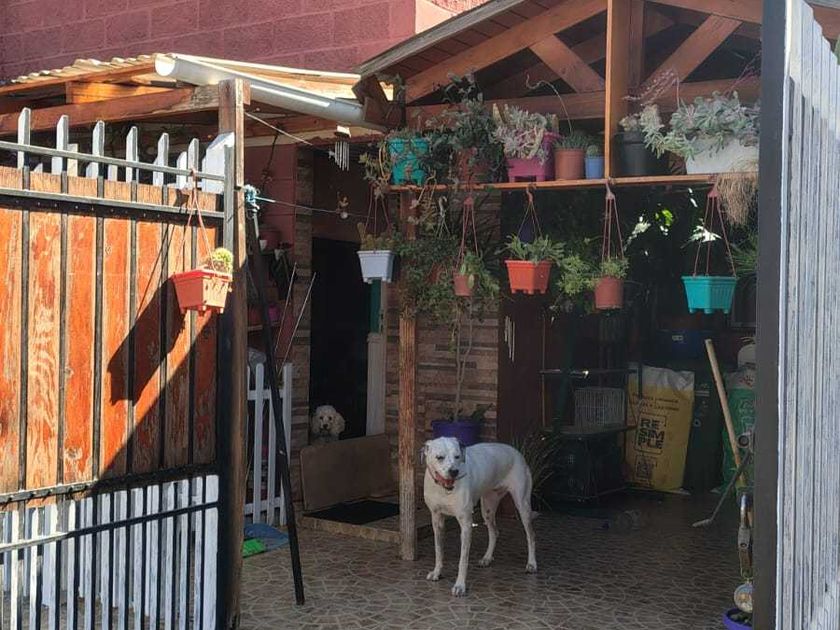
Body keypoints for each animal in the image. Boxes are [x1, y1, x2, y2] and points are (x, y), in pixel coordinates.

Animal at [422, 437, 537, 597]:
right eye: (440, 457)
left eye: (457, 456)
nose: (454, 472)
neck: (444, 490)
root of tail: (517, 452)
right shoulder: (437, 520)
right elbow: (438, 551)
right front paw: (437, 572)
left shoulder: (466, 524)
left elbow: (463, 560)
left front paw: (460, 585)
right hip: (487, 509)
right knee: (494, 532)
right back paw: (487, 558)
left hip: (522, 505)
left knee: (530, 535)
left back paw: (532, 564)